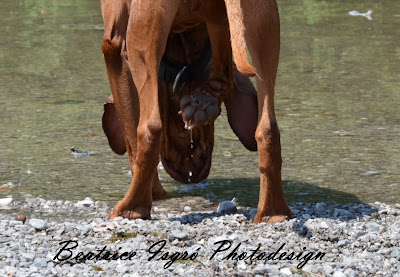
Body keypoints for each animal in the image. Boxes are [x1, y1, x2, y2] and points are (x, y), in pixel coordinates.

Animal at [101, 0, 290, 222]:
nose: (192, 174)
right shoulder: (216, 19)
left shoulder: (115, 43)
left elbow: (132, 142)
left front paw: (155, 194)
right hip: (263, 22)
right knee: (267, 126)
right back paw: (273, 213)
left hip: (142, 29)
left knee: (150, 128)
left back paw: (131, 209)